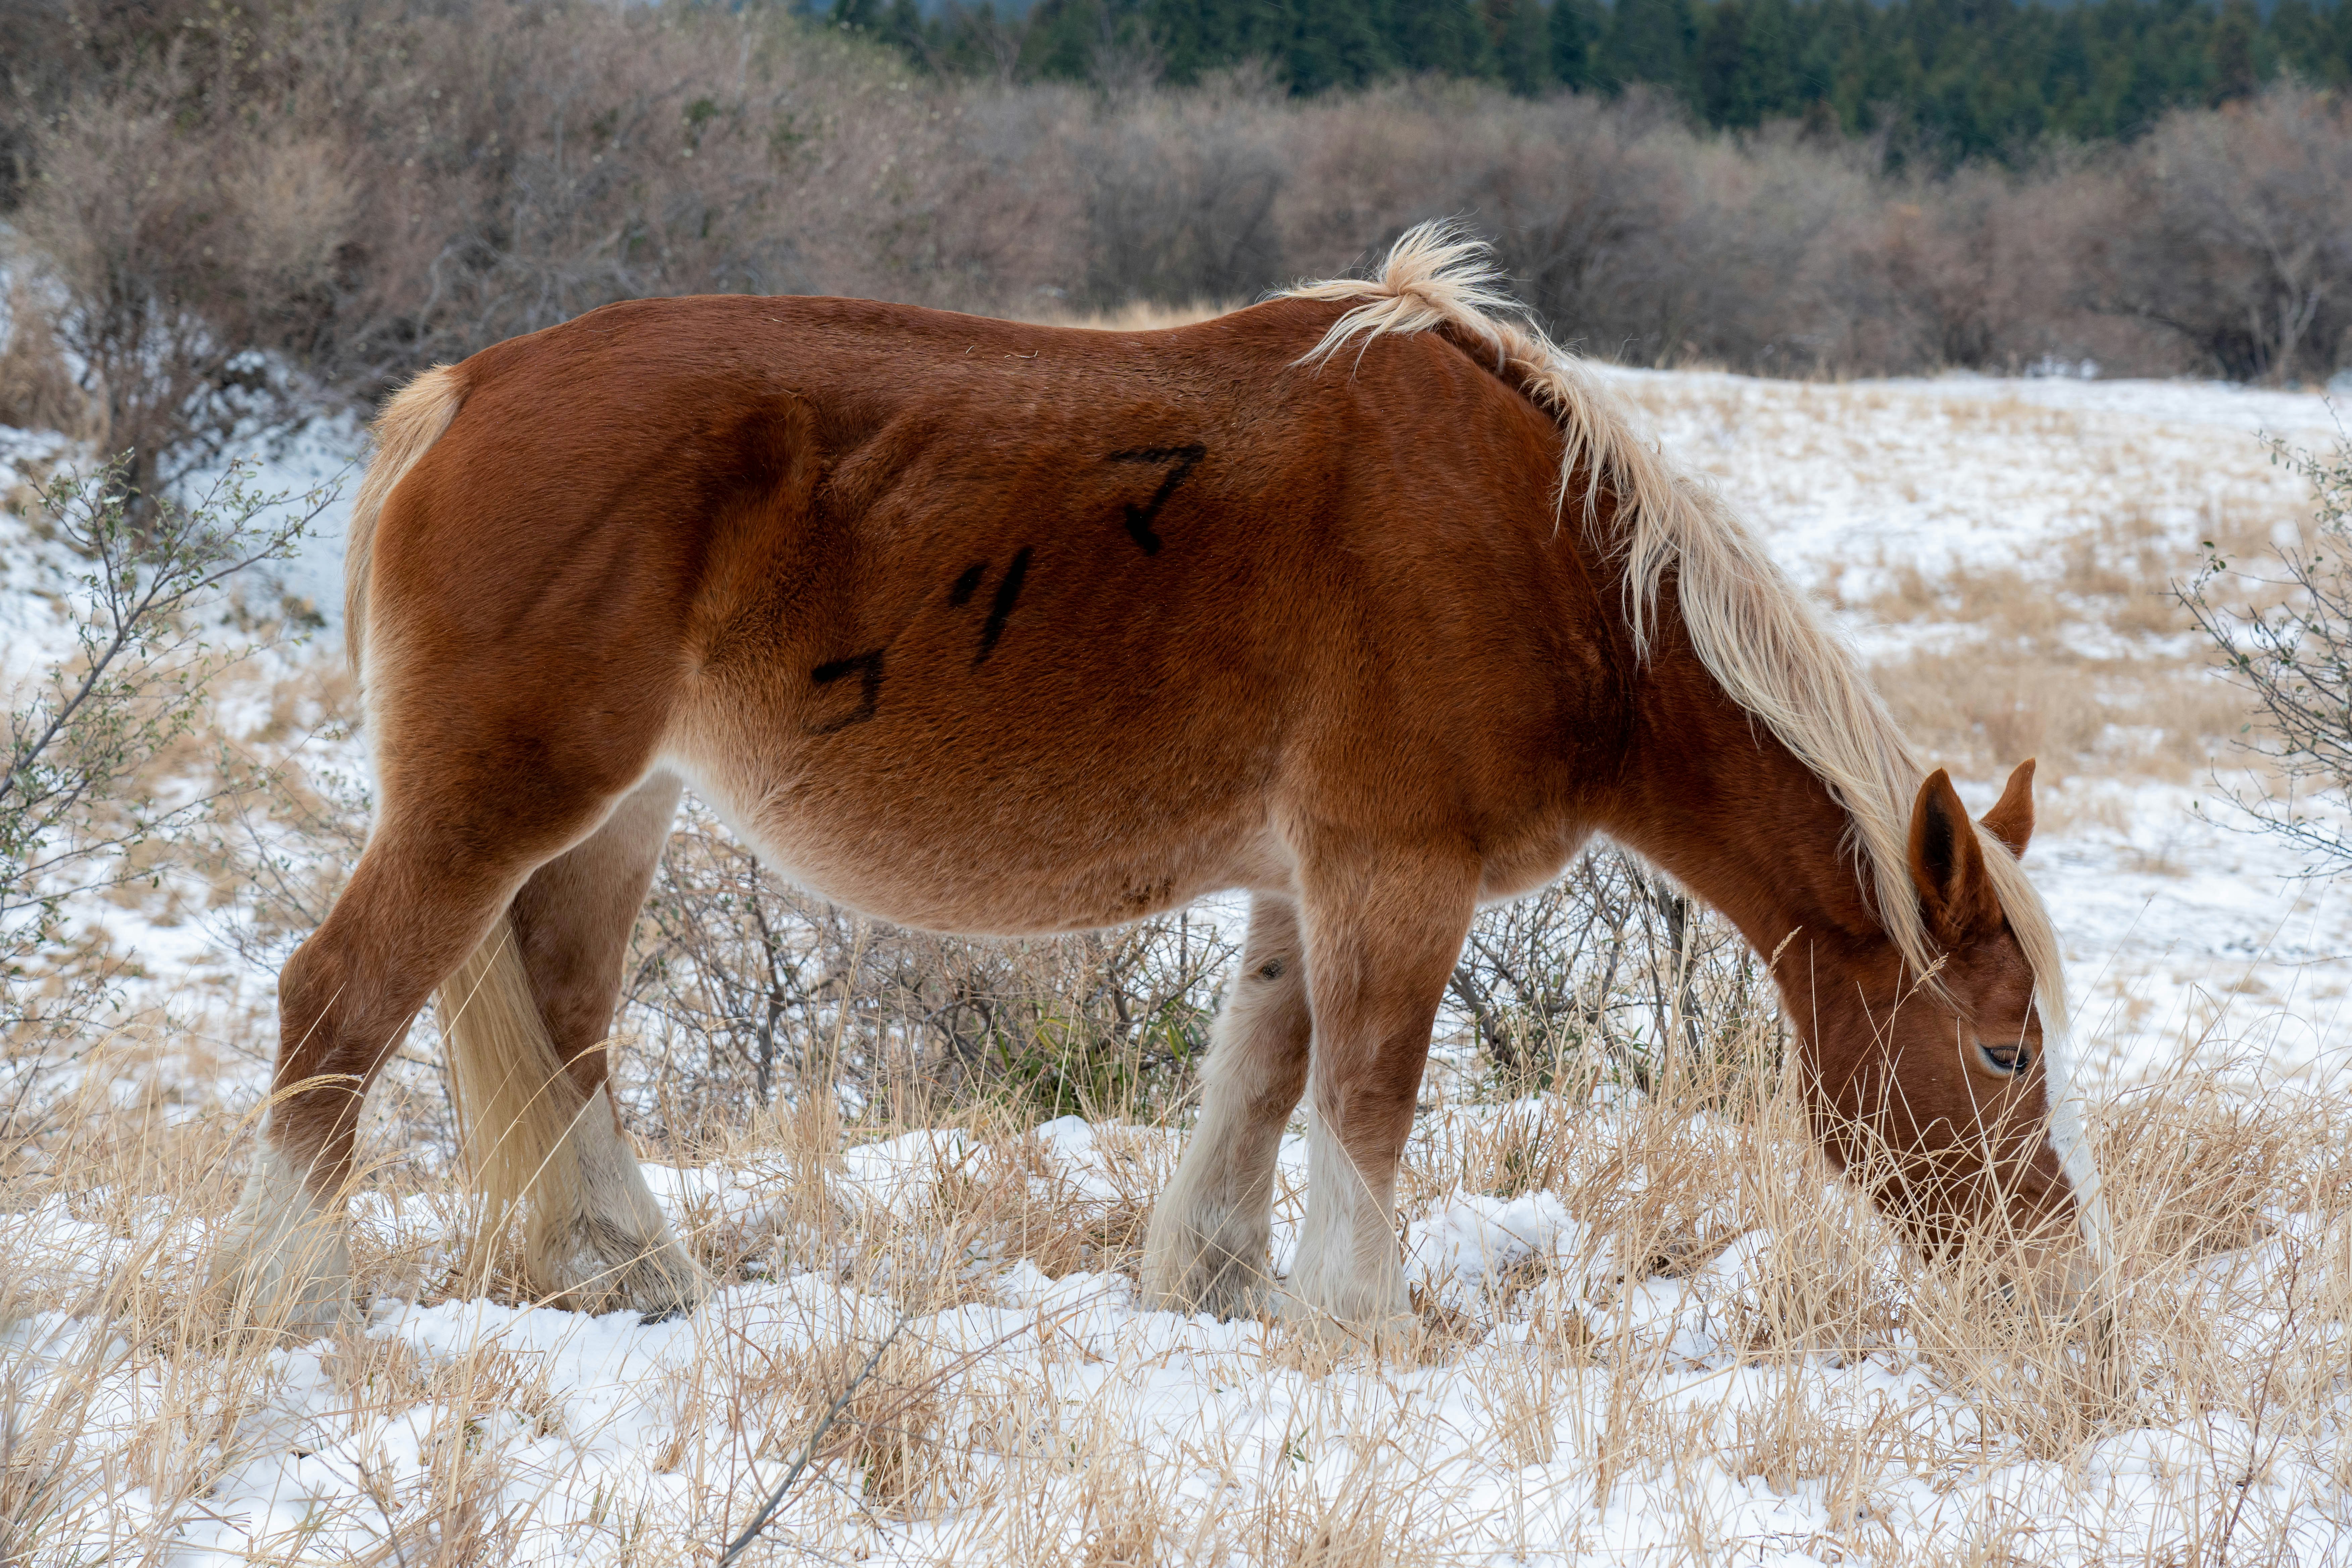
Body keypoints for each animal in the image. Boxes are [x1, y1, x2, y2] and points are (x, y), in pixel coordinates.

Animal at [206, 226, 2108, 1339]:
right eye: (2004, 1050)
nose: (2060, 1292)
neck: (1553, 562)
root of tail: (462, 393)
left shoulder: (1301, 884)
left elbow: (1258, 1085)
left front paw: (1217, 1289)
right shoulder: (1392, 877)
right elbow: (1362, 1103)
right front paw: (1352, 1329)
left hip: (619, 816)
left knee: (564, 1022)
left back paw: (633, 1272)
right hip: (496, 805)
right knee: (338, 1001)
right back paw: (288, 1296)